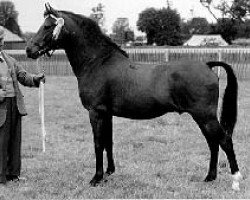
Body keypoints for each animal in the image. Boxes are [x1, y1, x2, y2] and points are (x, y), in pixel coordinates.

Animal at [25, 3, 242, 190]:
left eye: (47, 26)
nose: (30, 49)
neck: (98, 62)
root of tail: (207, 65)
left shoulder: (95, 113)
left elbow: (98, 144)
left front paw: (96, 178)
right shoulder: (107, 114)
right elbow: (108, 142)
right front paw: (109, 173)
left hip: (205, 116)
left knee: (224, 140)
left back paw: (235, 180)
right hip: (202, 118)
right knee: (213, 143)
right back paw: (209, 177)